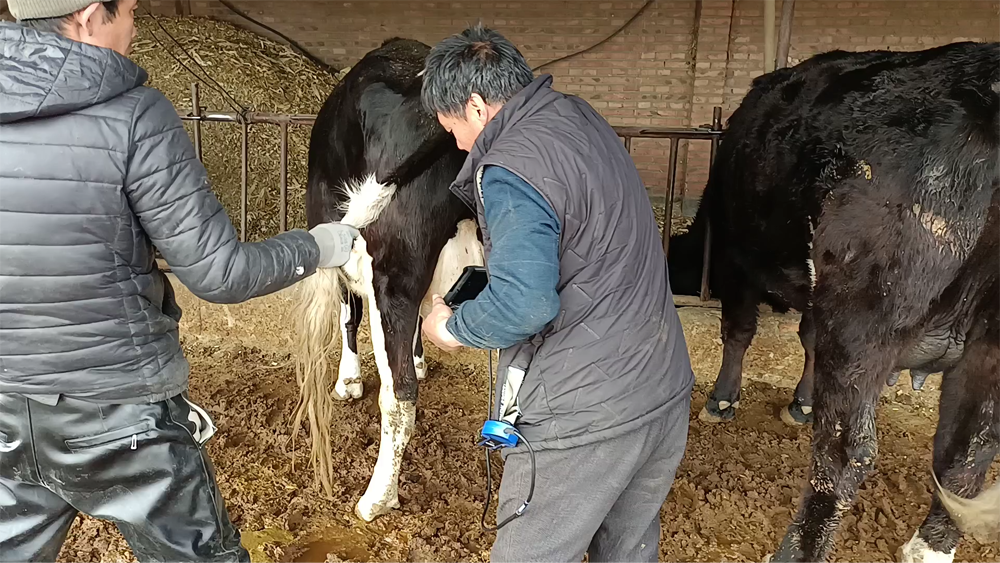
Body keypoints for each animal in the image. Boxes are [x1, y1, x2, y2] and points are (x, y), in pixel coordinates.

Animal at [290, 37, 484, 524]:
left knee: (399, 396)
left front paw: (348, 382)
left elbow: (348, 314)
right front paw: (418, 356)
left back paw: (376, 497)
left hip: (389, 272)